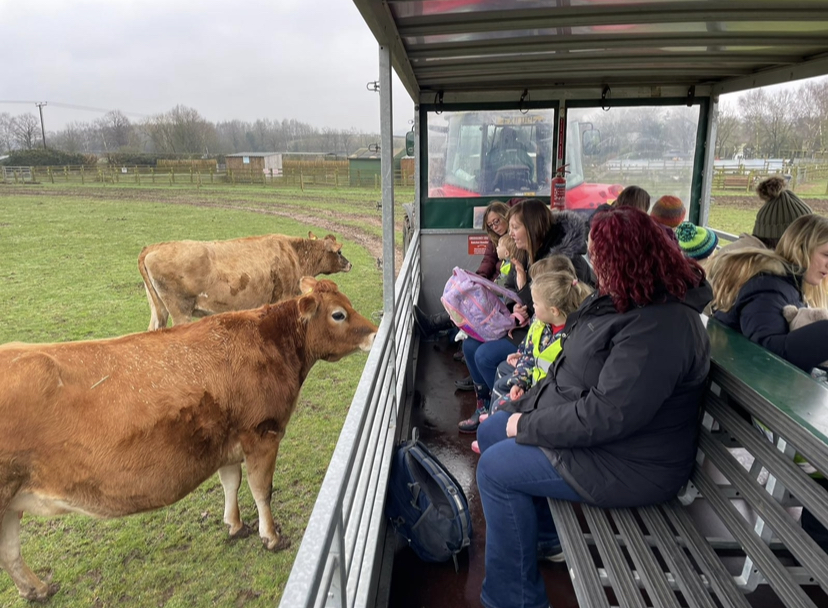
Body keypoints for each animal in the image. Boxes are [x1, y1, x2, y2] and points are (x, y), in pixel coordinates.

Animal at [0, 278, 376, 600]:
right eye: (339, 314)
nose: (374, 333)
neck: (268, 342)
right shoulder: (262, 434)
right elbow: (261, 489)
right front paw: (271, 537)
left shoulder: (227, 442)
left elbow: (230, 482)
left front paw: (235, 525)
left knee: (10, 551)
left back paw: (37, 589)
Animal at [139, 232, 352, 328]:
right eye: (339, 252)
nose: (350, 264)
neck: (294, 254)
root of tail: (152, 248)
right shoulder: (285, 295)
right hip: (181, 311)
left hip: (159, 310)